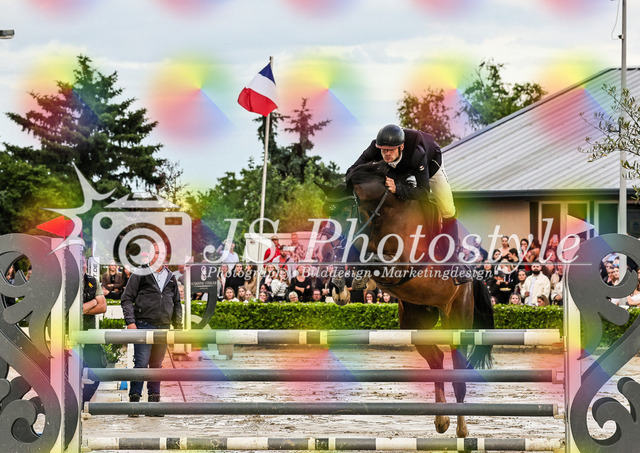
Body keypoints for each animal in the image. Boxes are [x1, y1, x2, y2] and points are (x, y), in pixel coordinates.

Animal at [317, 161, 494, 438]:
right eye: (325, 211)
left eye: (346, 210)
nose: (326, 249)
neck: (383, 215)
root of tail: (472, 277)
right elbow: (356, 258)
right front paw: (341, 289)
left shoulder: (403, 265)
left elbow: (372, 261)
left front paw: (357, 280)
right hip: (416, 320)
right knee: (436, 359)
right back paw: (441, 420)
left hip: (456, 317)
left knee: (457, 368)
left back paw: (461, 428)